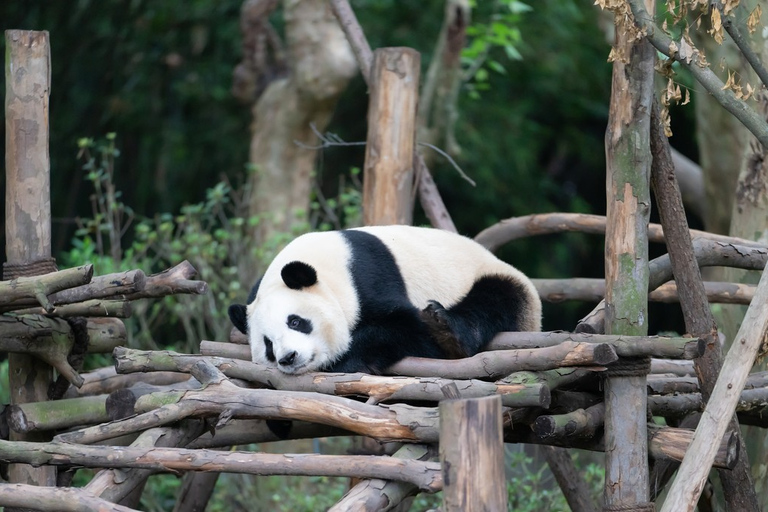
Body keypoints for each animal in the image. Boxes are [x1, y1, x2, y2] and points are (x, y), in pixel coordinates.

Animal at [228, 225, 541, 375]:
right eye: (268, 345)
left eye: (295, 321)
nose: (288, 357)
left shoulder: (368, 277)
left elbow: (408, 329)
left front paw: (344, 358)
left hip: (497, 280)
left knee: (493, 301)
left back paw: (448, 329)